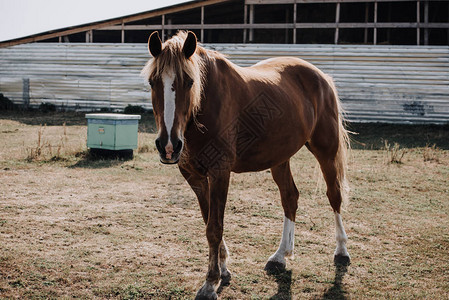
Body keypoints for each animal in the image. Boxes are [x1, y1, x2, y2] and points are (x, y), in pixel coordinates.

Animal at [141, 31, 350, 300]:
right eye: (152, 82)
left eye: (189, 82)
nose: (169, 145)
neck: (207, 104)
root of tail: (321, 77)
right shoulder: (194, 176)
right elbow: (209, 221)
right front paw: (223, 268)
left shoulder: (220, 173)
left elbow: (214, 228)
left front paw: (210, 283)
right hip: (279, 159)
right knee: (290, 198)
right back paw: (280, 256)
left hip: (326, 150)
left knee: (334, 195)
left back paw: (341, 251)